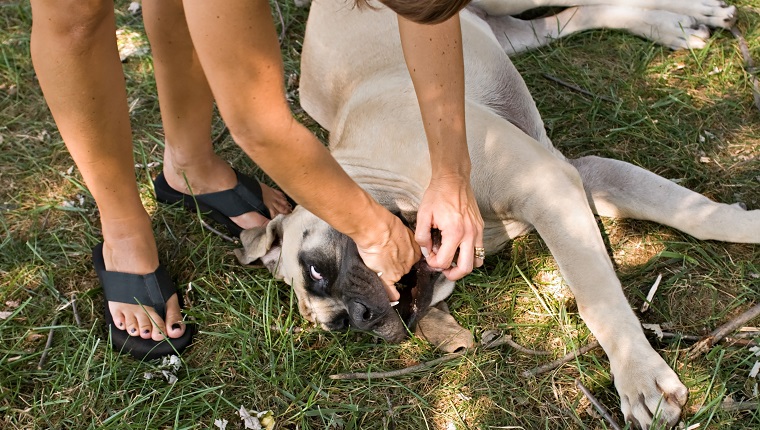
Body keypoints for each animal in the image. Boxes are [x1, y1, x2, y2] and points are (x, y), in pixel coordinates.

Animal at [236, 1, 756, 428]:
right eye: (338, 327)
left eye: (316, 268)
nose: (363, 318)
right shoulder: (584, 178)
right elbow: (697, 214)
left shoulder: (550, 186)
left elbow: (598, 297)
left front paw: (638, 377)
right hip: (503, 32)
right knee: (570, 17)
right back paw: (675, 25)